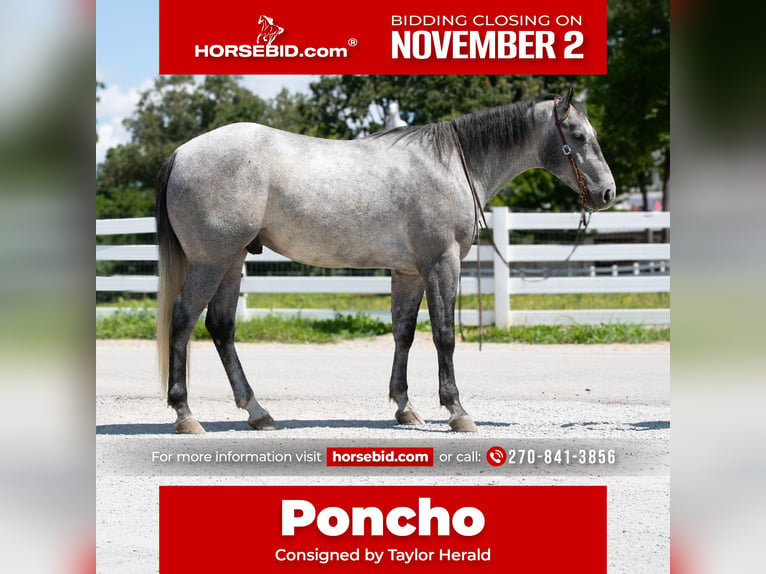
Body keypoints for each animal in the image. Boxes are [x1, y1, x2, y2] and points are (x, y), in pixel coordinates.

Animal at [155, 88, 615, 434]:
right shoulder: (442, 264)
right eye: (576, 135)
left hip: (232, 262)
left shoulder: (408, 273)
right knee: (183, 319)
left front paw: (405, 407)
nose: (607, 193)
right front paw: (457, 410)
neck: (450, 165)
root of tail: (182, 152)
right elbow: (444, 335)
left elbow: (404, 334)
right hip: (211, 262)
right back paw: (185, 414)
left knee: (221, 327)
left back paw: (258, 412)